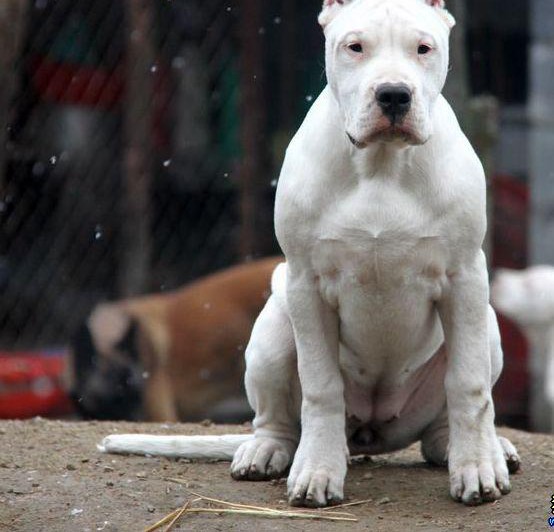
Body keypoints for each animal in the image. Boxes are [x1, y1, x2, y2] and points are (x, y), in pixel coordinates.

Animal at [99, 0, 516, 508]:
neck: (381, 165)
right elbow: (321, 387)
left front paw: (477, 467)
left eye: (424, 48)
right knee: (278, 420)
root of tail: (373, 430)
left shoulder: (465, 279)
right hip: (274, 328)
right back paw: (267, 451)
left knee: (443, 421)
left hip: (487, 325)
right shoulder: (307, 283)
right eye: (354, 47)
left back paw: (475, 447)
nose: (394, 95)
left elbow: (469, 384)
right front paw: (318, 471)